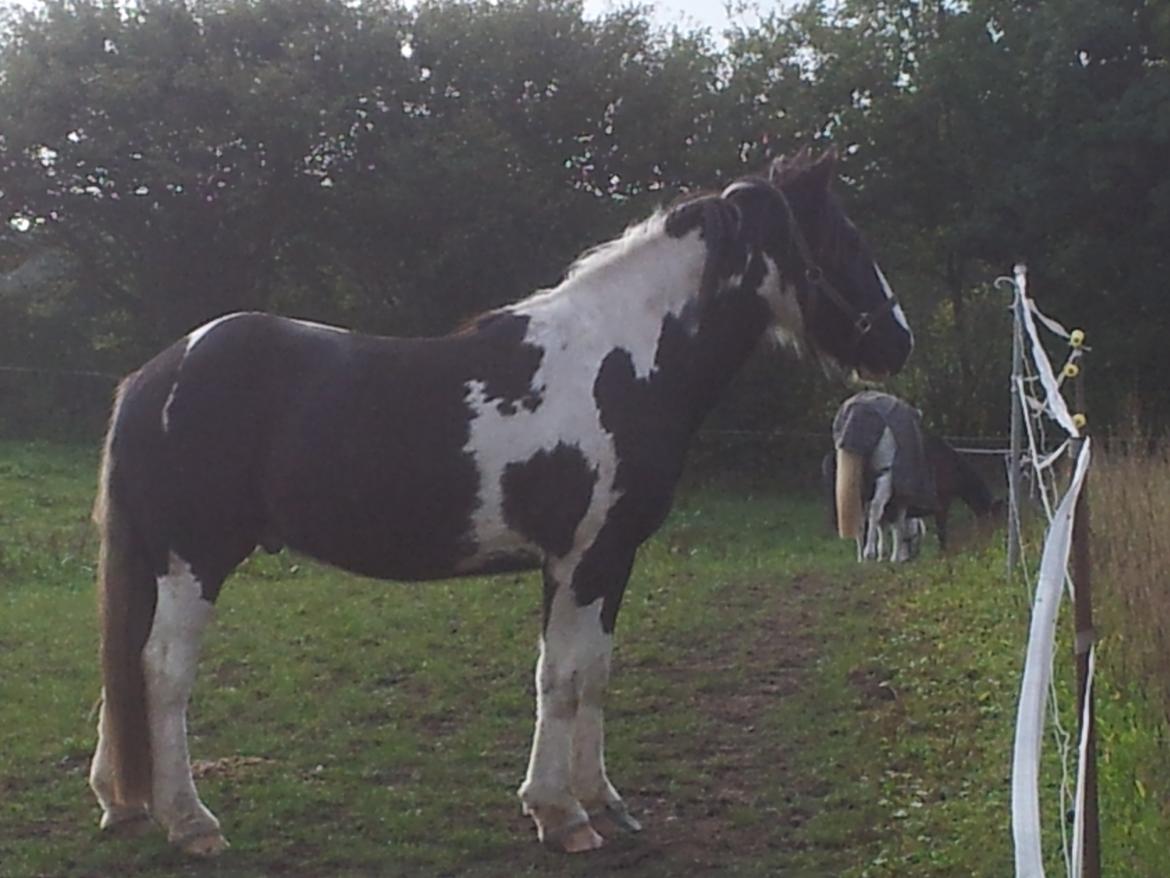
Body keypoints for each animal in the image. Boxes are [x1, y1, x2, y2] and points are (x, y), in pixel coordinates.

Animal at [88, 149, 912, 861]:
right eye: (845, 238)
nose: (897, 343)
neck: (624, 364)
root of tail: (154, 376)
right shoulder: (581, 559)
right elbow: (561, 678)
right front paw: (560, 815)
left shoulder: (612, 560)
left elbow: (594, 674)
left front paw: (601, 799)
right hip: (194, 560)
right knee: (163, 672)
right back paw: (190, 822)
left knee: (128, 666)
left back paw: (125, 803)